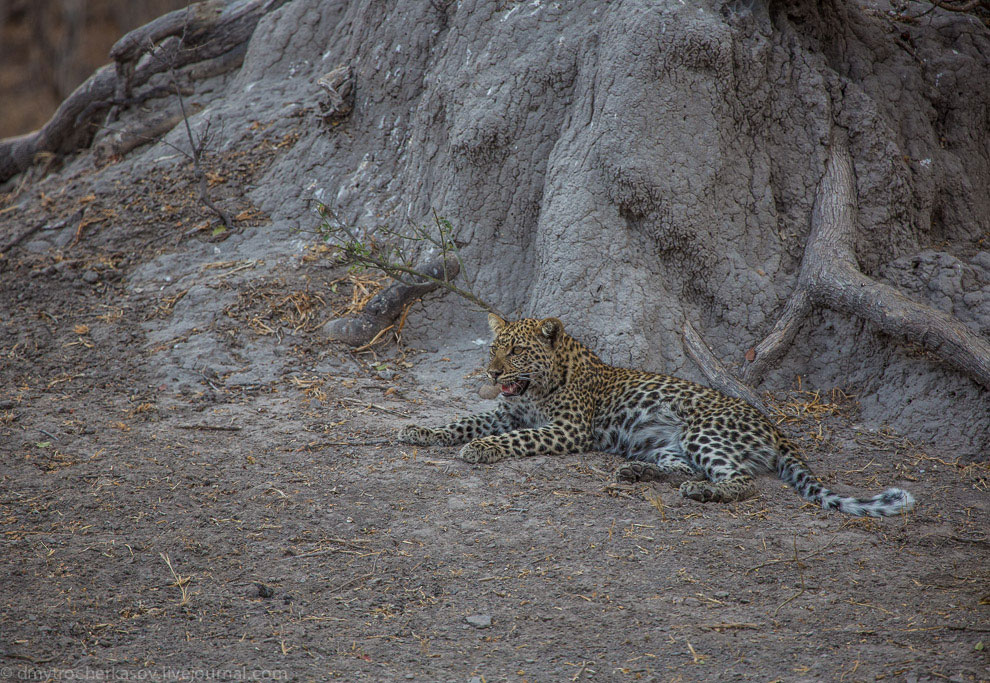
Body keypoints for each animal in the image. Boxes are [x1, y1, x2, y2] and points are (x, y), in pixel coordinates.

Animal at [400, 316, 920, 520]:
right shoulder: (508, 414)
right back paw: (636, 471)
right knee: (686, 468)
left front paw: (479, 450)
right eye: (494, 347)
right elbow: (463, 421)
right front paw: (421, 430)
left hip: (703, 431)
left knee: (741, 482)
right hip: (671, 444)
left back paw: (703, 492)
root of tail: (773, 425)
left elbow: (511, 440)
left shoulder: (566, 430)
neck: (539, 386)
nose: (491, 371)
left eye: (517, 351)